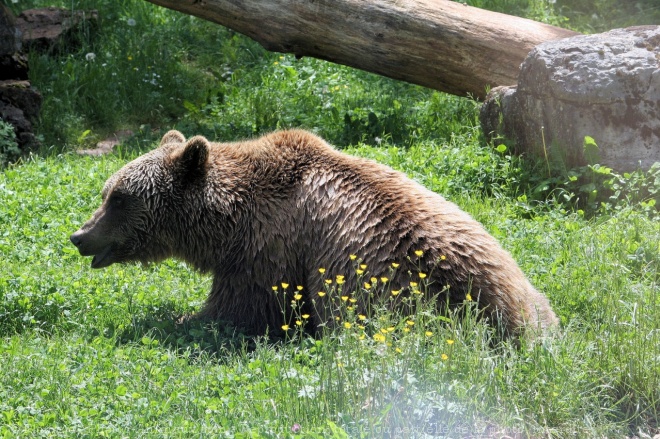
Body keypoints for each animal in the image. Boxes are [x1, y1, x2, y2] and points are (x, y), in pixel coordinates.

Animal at [71, 129, 556, 338]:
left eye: (118, 198)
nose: (79, 235)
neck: (228, 220)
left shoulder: (269, 248)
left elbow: (244, 308)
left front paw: (179, 319)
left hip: (396, 293)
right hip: (530, 293)